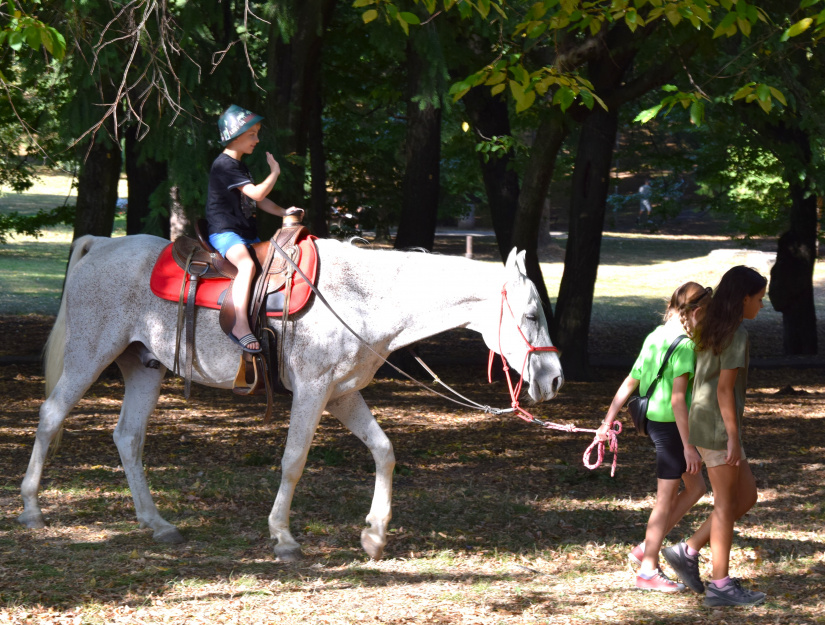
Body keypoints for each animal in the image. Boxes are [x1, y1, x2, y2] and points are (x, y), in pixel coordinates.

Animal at [17, 235, 560, 560]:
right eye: (532, 314)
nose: (554, 379)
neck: (360, 298)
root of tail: (100, 245)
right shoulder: (314, 391)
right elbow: (294, 459)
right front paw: (282, 536)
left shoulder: (342, 394)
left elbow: (384, 451)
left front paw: (374, 535)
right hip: (91, 353)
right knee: (51, 414)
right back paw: (32, 510)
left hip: (144, 368)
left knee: (128, 438)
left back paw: (157, 523)